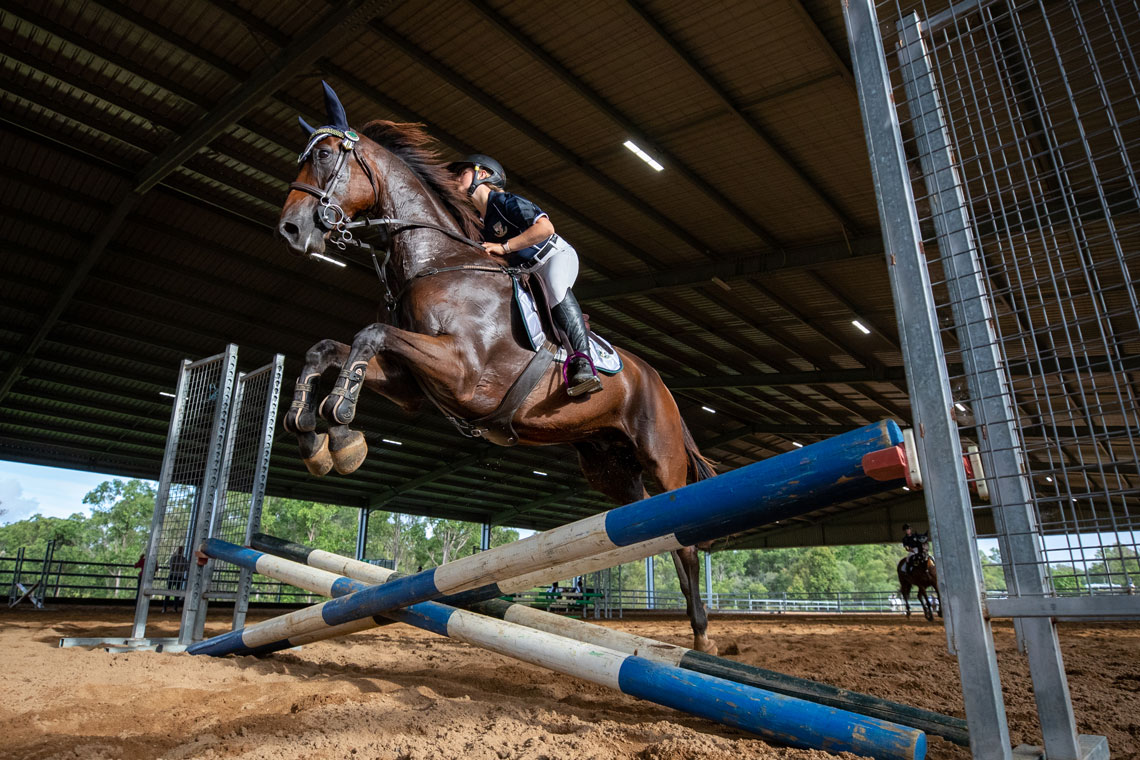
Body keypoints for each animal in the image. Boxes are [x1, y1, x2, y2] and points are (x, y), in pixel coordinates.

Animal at [274, 82, 715, 656]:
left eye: (325, 156)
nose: (290, 228)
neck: (435, 262)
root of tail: (662, 384)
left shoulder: (463, 373)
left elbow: (368, 336)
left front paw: (340, 423)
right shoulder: (412, 385)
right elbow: (327, 349)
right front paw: (316, 437)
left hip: (661, 458)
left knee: (684, 541)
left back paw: (702, 638)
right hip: (610, 469)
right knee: (652, 528)